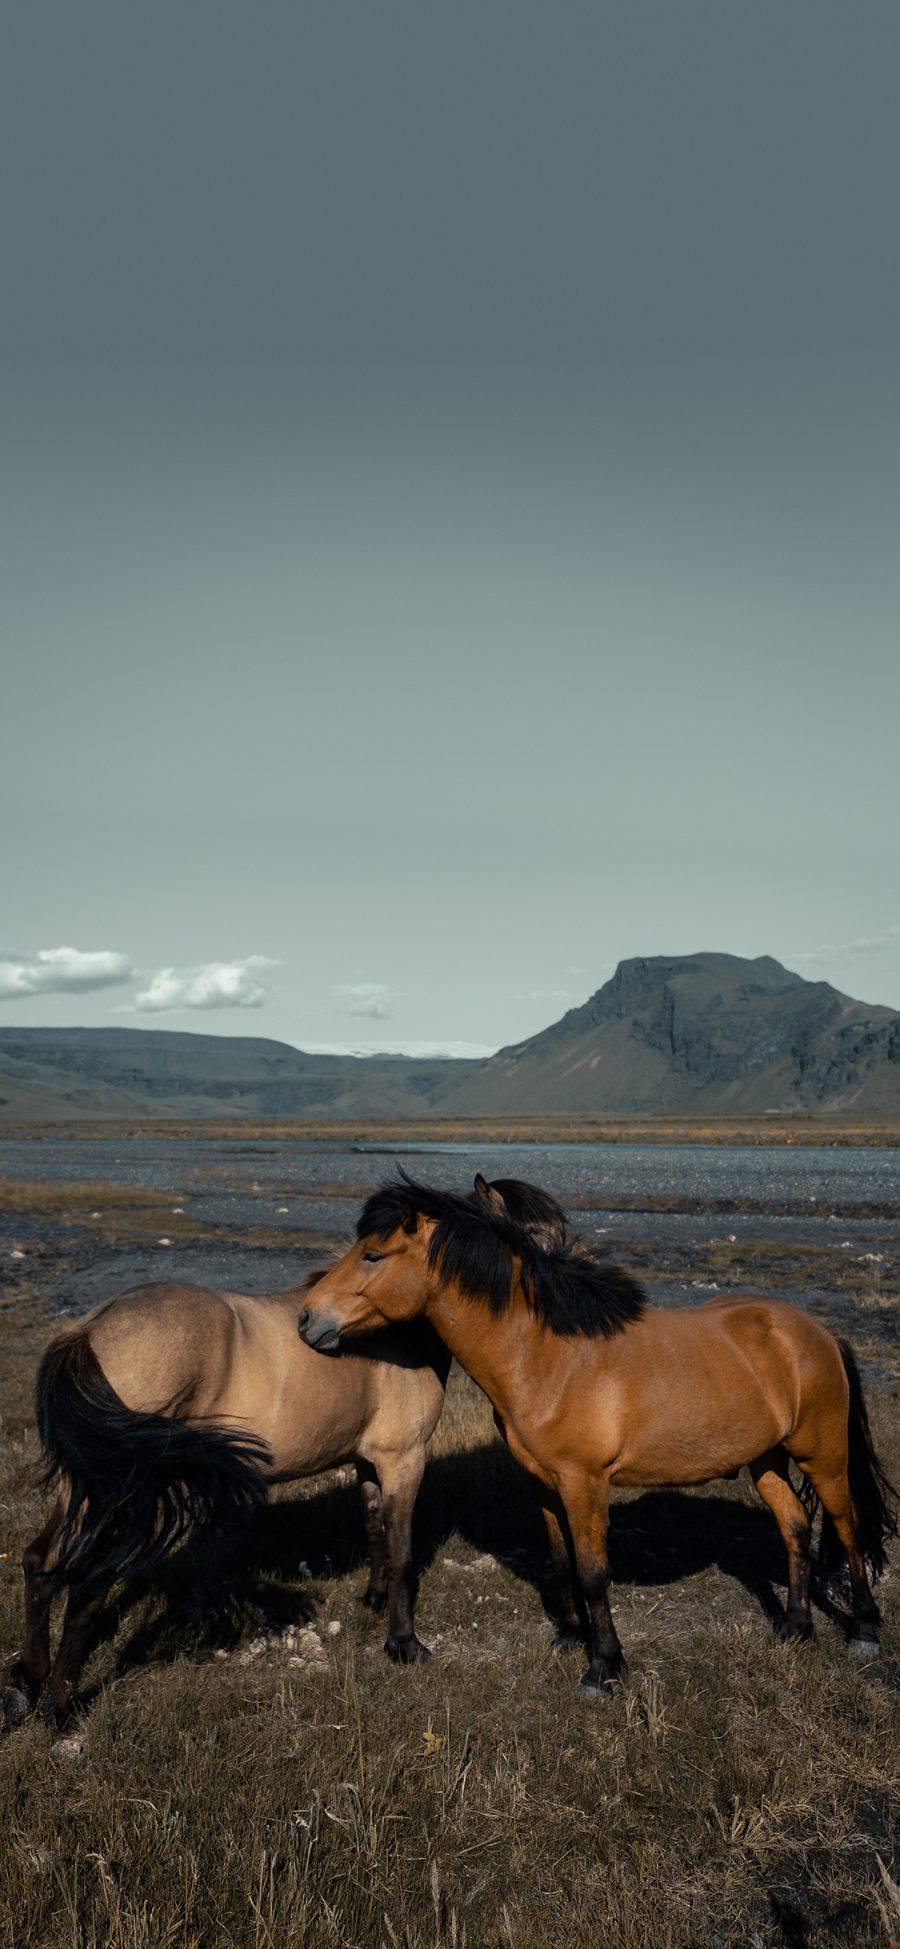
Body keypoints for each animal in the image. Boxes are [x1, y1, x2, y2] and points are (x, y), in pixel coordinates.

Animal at [0, 1270, 450, 1730]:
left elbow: (375, 1528)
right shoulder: (404, 1459)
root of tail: (87, 1331)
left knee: (41, 1561)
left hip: (83, 1487)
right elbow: (401, 1553)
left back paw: (28, 1679)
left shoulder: (368, 1462)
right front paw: (404, 1644)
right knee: (87, 1586)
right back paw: (61, 1707)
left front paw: (374, 1599)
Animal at [298, 1169, 896, 1691]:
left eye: (372, 1255)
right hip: (766, 1458)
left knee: (846, 1527)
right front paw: (570, 1638)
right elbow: (561, 1560)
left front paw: (604, 1667)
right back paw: (796, 1629)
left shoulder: (584, 1483)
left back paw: (864, 1629)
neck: (548, 1357)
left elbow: (591, 1572)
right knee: (794, 1526)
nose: (306, 1318)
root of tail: (818, 1333)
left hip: (822, 1454)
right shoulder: (543, 1482)